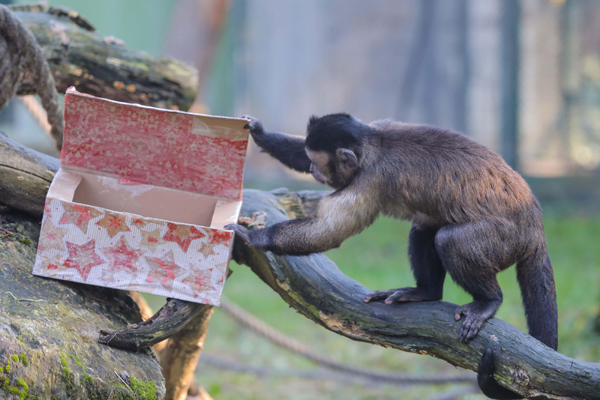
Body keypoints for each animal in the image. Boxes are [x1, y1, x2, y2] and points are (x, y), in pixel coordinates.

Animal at [225, 113, 556, 400]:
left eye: (318, 162)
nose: (314, 169)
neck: (374, 147)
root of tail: (535, 227)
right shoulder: (378, 126)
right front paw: (260, 132)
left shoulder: (369, 180)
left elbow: (328, 232)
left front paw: (257, 237)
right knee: (424, 229)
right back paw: (425, 292)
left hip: (505, 239)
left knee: (450, 240)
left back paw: (488, 300)